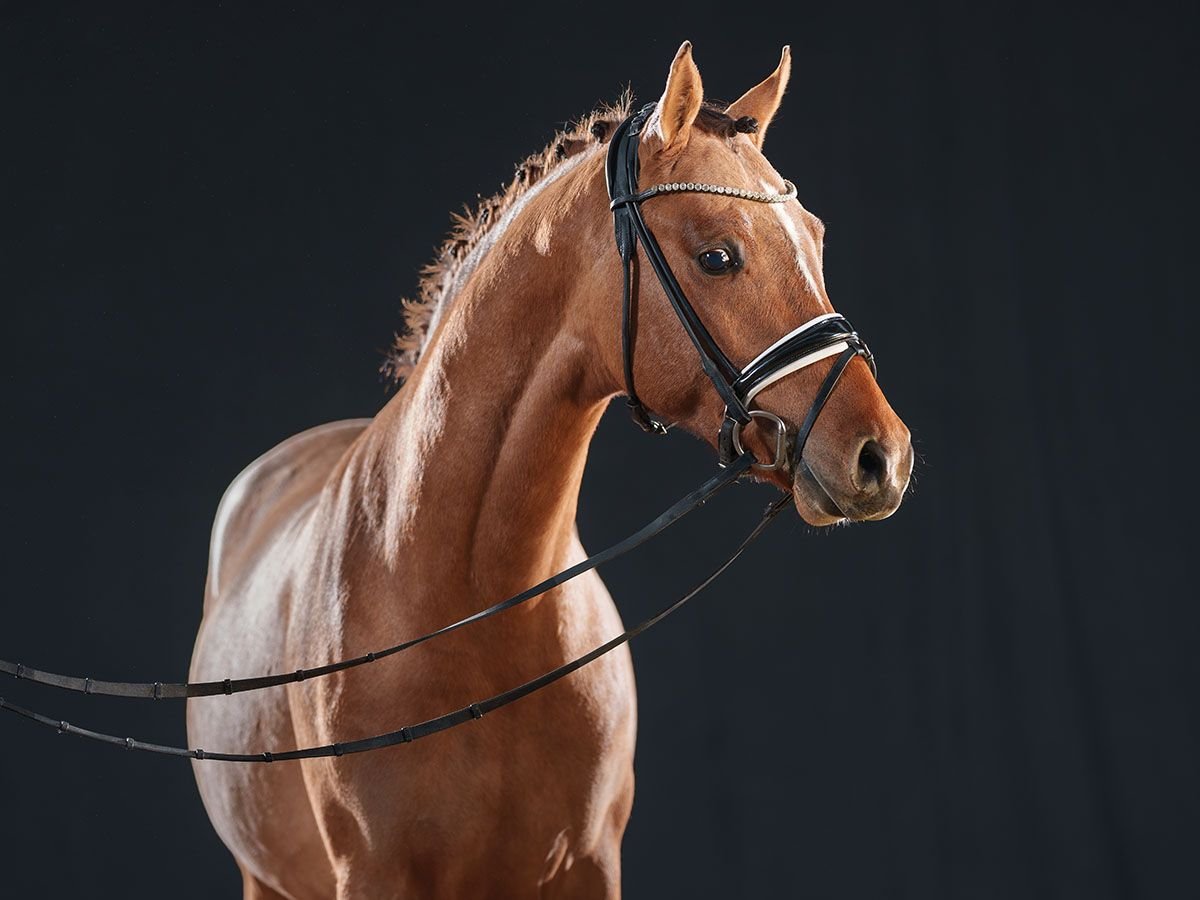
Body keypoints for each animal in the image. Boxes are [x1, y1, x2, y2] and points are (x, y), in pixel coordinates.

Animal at [192, 42, 912, 900]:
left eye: (815, 237)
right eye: (717, 256)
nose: (881, 453)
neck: (471, 602)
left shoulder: (589, 866)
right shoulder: (372, 875)